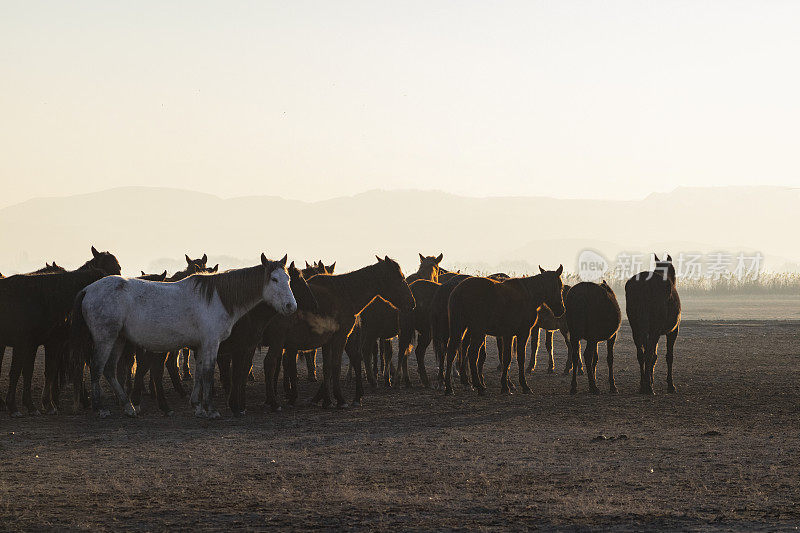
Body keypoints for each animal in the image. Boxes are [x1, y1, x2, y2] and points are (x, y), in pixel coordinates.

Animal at [71, 256, 296, 418]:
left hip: (118, 339)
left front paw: (198, 407)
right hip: (105, 338)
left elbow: (199, 374)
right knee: (97, 368)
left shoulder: (202, 345)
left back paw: (128, 407)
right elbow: (208, 373)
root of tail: (88, 289)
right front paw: (211, 410)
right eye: (274, 279)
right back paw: (101, 409)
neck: (218, 298)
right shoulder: (212, 343)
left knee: (109, 370)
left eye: (288, 279)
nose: (291, 306)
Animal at [264, 256, 416, 408]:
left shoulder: (328, 340)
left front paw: (326, 400)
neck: (343, 293)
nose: (412, 303)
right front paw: (340, 399)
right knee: (270, 363)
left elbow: (327, 368)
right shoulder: (340, 336)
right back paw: (274, 401)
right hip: (279, 340)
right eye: (400, 278)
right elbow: (336, 365)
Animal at [444, 266, 564, 394]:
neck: (528, 295)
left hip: (459, 328)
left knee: (452, 352)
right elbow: (518, 358)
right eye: (560, 287)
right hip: (477, 331)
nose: (561, 310)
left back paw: (450, 387)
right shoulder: (522, 333)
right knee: (472, 354)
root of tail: (458, 290)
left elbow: (506, 358)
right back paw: (478, 386)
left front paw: (506, 385)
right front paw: (522, 386)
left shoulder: (507, 335)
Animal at [624, 254, 680, 394]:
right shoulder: (673, 331)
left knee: (641, 354)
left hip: (636, 328)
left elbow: (653, 355)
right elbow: (668, 356)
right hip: (655, 329)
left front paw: (650, 378)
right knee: (648, 353)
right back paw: (648, 387)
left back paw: (643, 385)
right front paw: (670, 385)